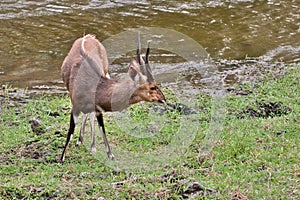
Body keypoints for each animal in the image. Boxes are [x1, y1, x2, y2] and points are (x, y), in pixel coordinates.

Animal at [59, 33, 165, 163]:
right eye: (153, 87)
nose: (163, 98)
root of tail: (89, 36)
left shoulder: (98, 109)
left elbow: (102, 128)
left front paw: (110, 154)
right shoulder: (75, 105)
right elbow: (70, 130)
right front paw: (61, 158)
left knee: (89, 116)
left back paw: (88, 144)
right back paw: (81, 142)